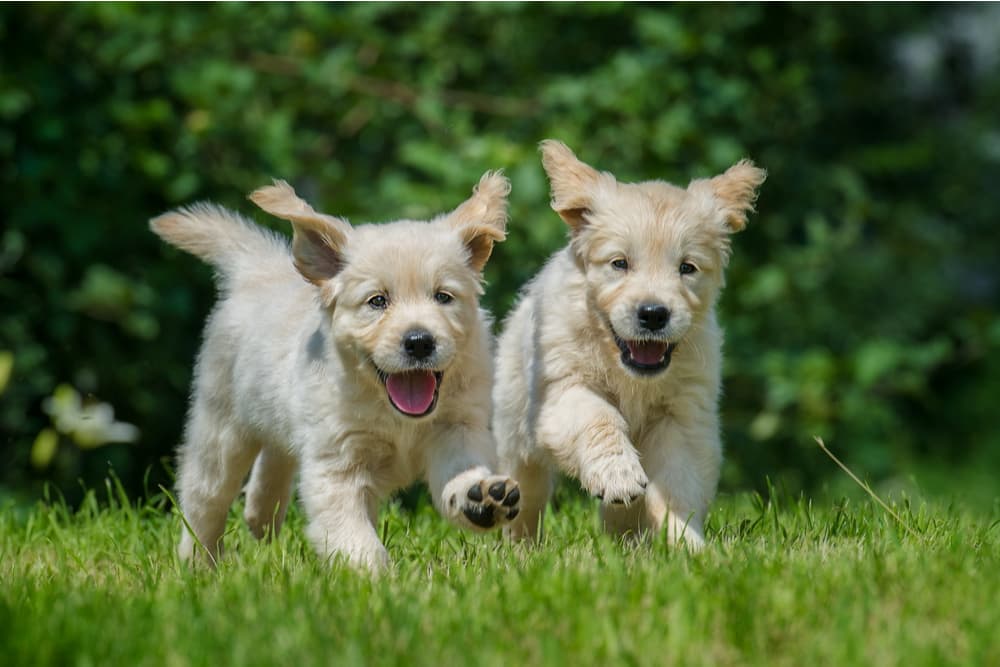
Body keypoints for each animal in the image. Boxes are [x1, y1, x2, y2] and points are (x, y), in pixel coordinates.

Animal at [152, 171, 524, 568]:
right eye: (377, 301)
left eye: (443, 297)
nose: (419, 342)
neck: (396, 415)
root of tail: (260, 270)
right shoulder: (337, 461)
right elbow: (351, 533)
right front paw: (374, 575)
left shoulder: (458, 427)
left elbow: (461, 468)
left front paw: (479, 497)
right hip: (221, 425)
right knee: (205, 495)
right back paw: (199, 562)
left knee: (273, 460)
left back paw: (260, 516)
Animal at [494, 141, 764, 548]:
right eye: (619, 263)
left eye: (687, 268)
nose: (653, 314)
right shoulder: (560, 393)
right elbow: (598, 418)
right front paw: (617, 475)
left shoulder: (682, 417)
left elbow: (676, 486)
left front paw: (686, 543)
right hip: (514, 434)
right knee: (525, 492)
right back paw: (512, 540)